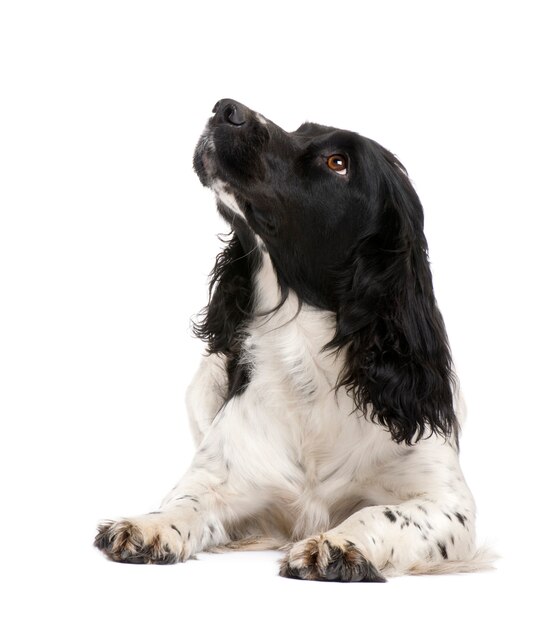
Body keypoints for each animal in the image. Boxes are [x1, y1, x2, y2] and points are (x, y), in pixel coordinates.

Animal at [94, 98, 488, 580]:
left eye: (337, 163)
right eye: (301, 130)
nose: (225, 108)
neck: (306, 361)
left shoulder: (448, 503)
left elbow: (381, 512)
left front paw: (337, 543)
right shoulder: (222, 474)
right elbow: (186, 500)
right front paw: (149, 525)